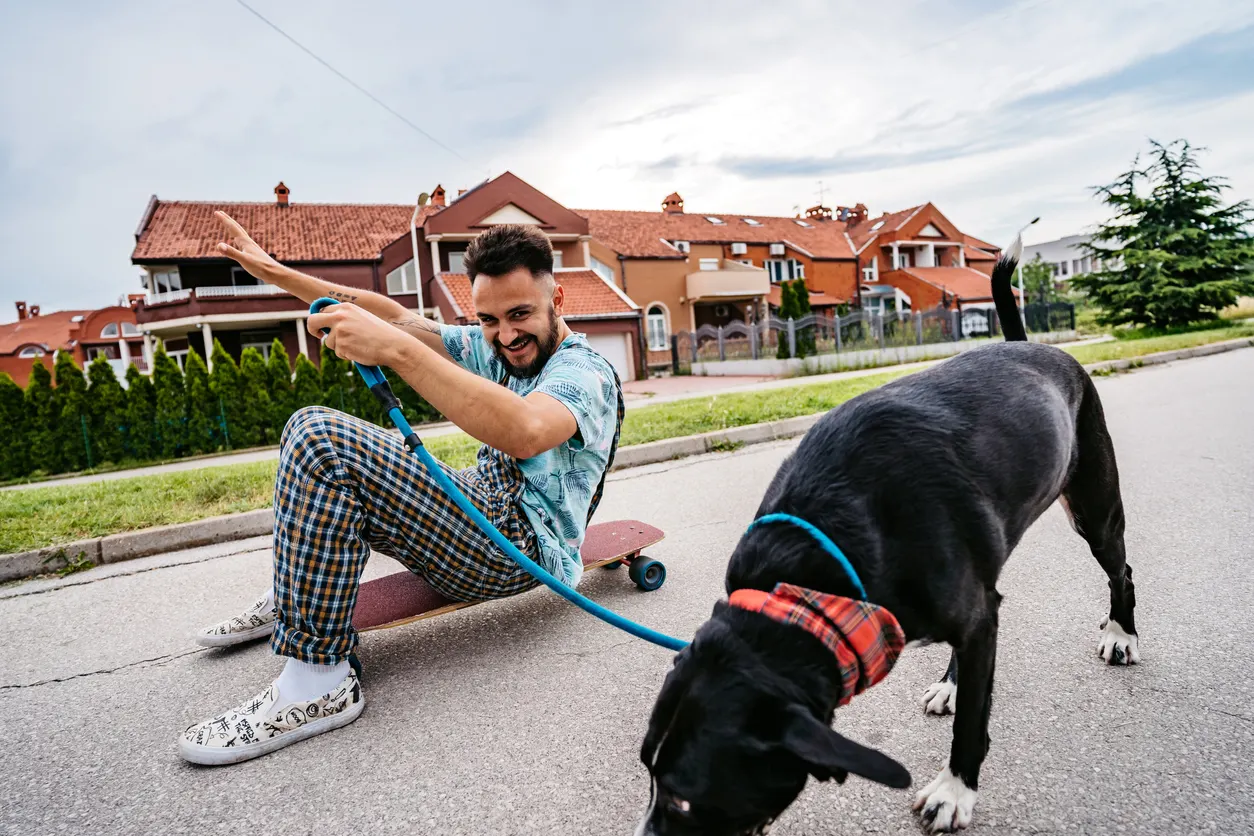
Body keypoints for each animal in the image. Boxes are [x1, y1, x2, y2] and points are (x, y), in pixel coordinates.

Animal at [642, 238, 1143, 832]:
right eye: (647, 772)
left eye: (684, 798)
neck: (815, 576)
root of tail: (1039, 350)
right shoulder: (974, 613)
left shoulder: (975, 618)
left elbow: (972, 723)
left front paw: (955, 791)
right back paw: (953, 682)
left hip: (1094, 509)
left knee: (1120, 570)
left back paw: (1122, 635)